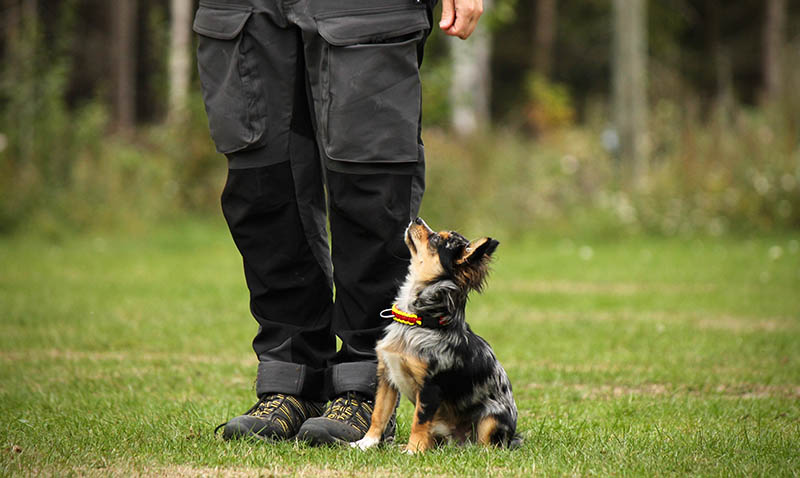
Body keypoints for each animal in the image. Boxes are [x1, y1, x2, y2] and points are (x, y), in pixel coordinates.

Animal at [354, 218, 520, 454]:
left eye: (435, 240)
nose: (416, 219)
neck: (417, 322)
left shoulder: (430, 388)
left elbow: (419, 421)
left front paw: (413, 451)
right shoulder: (387, 376)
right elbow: (379, 414)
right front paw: (365, 443)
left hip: (491, 417)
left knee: (489, 443)